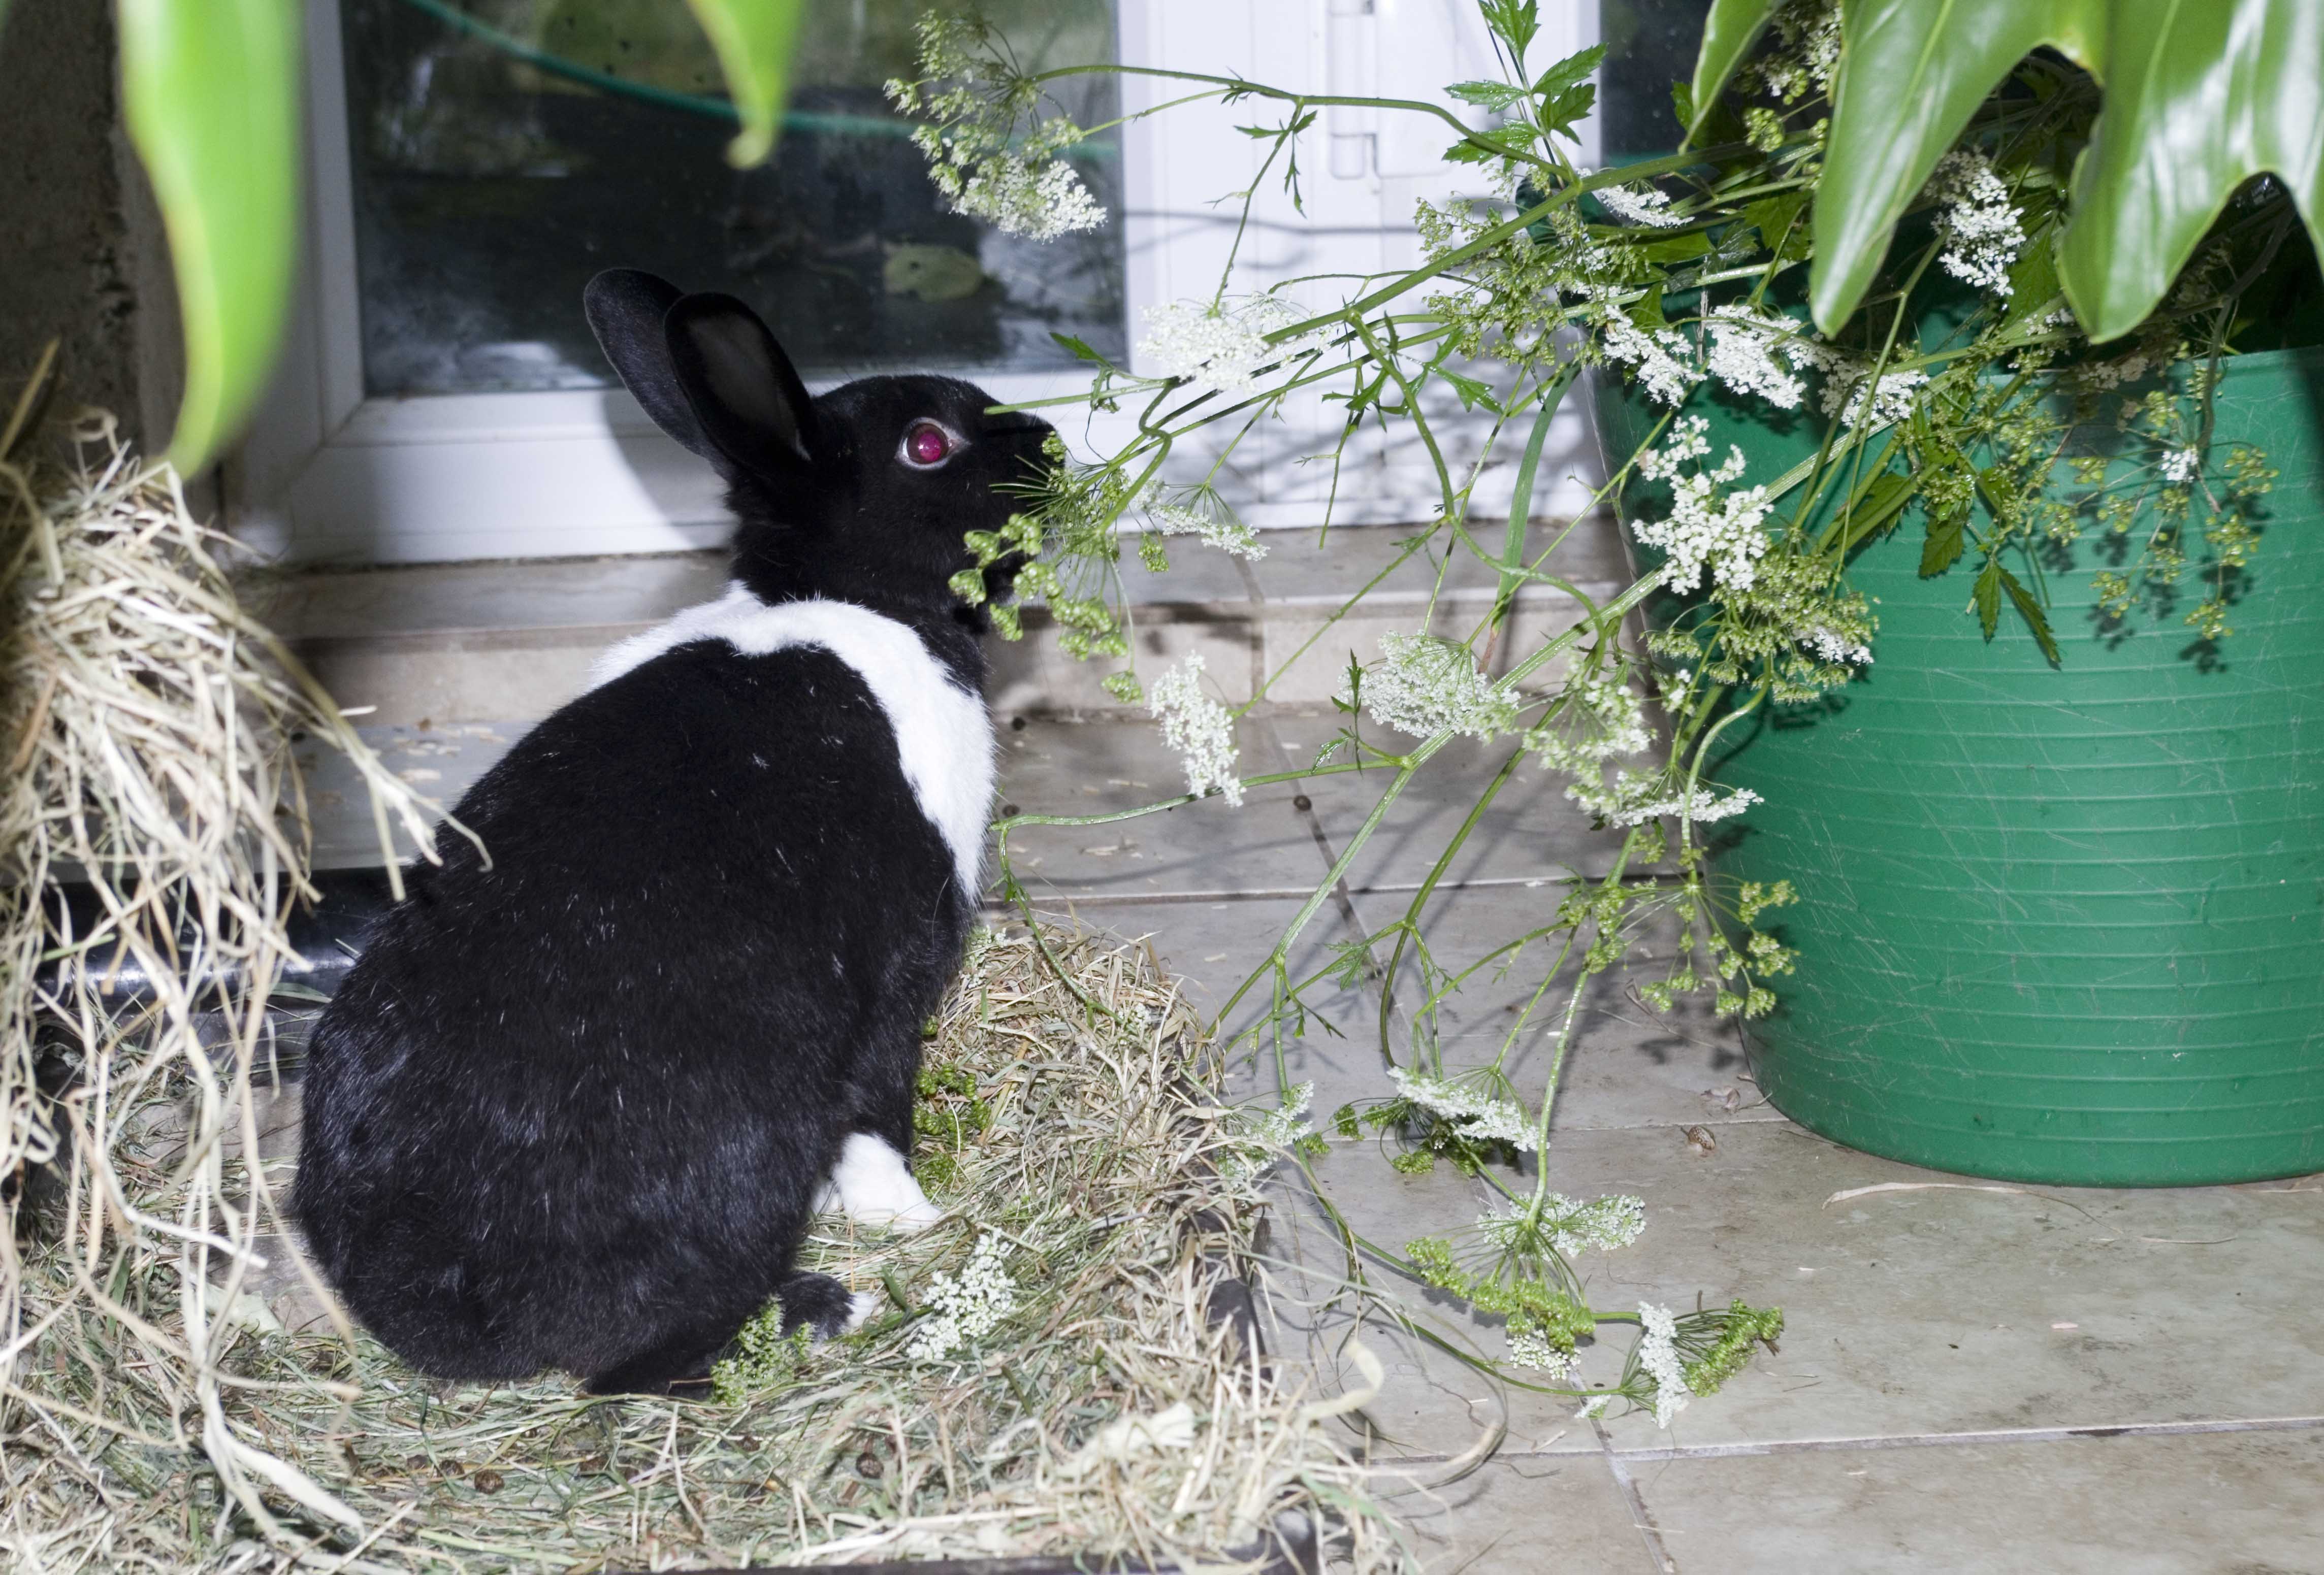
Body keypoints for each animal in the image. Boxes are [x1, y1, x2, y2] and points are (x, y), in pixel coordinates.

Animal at [291, 272, 1055, 1394]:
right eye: (928, 443)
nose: (1050, 440)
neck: (847, 597)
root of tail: (451, 1290)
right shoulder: (895, 975)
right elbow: (875, 1109)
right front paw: (909, 1220)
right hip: (744, 1162)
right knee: (646, 1361)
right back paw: (831, 1307)